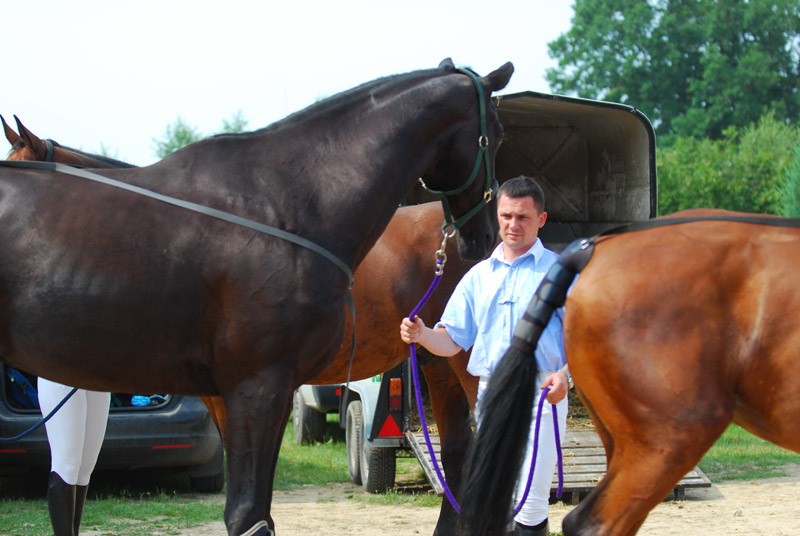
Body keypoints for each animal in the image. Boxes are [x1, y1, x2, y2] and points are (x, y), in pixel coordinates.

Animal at [0, 58, 512, 536]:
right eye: (500, 133)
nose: (486, 236)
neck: (283, 204)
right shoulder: (247, 389)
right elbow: (249, 512)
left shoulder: (258, 387)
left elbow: (248, 512)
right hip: (437, 364)